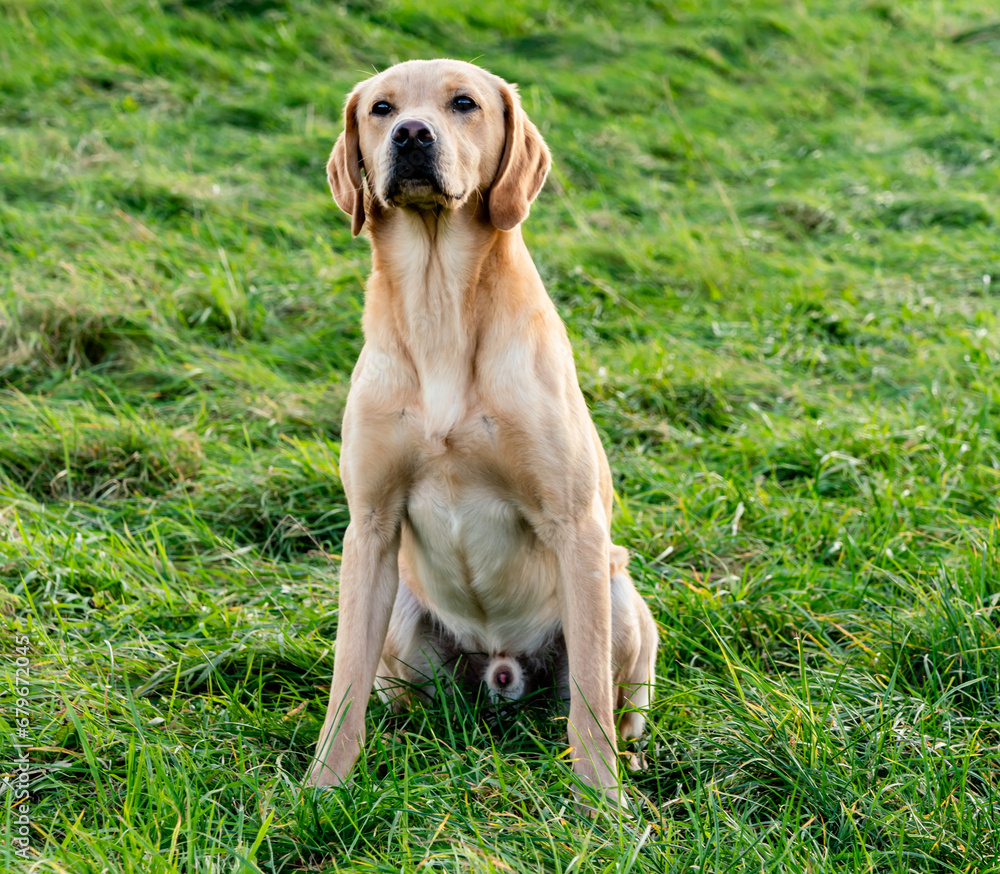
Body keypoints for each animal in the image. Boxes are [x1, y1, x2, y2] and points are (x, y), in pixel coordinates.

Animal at [308, 59, 660, 812]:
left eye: (464, 103)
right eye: (381, 109)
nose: (412, 136)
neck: (440, 299)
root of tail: (503, 671)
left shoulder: (576, 526)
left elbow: (590, 697)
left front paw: (600, 802)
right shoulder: (370, 527)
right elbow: (344, 684)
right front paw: (321, 788)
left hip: (618, 593)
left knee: (618, 703)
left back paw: (631, 763)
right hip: (402, 616)